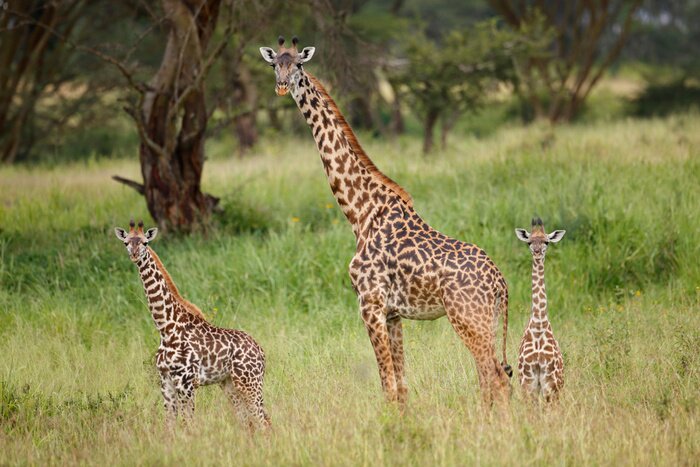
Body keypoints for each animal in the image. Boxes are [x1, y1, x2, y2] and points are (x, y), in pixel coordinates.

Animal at [114, 220, 271, 431]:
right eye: (126, 243)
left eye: (145, 242)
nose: (134, 255)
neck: (166, 327)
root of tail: (261, 351)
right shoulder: (166, 382)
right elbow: (169, 425)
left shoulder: (186, 382)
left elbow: (188, 424)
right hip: (229, 383)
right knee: (248, 422)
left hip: (249, 382)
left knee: (264, 422)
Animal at [260, 37, 512, 407]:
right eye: (274, 63)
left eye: (299, 65)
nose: (281, 85)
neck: (360, 212)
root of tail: (500, 284)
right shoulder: (393, 313)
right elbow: (403, 387)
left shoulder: (370, 304)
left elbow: (388, 388)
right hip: (486, 322)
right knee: (494, 377)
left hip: (467, 319)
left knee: (495, 378)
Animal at [515, 217, 565, 402]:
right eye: (529, 242)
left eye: (546, 242)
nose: (537, 252)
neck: (538, 325)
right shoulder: (527, 380)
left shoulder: (550, 382)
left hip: (556, 385)